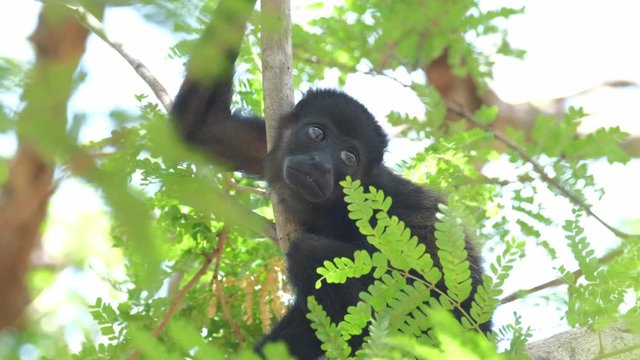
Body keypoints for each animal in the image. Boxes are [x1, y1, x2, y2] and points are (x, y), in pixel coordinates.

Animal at [172, 1, 488, 358]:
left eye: (349, 157)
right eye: (316, 133)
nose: (318, 164)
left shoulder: (376, 207)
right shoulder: (266, 146)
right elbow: (203, 129)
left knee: (308, 252)